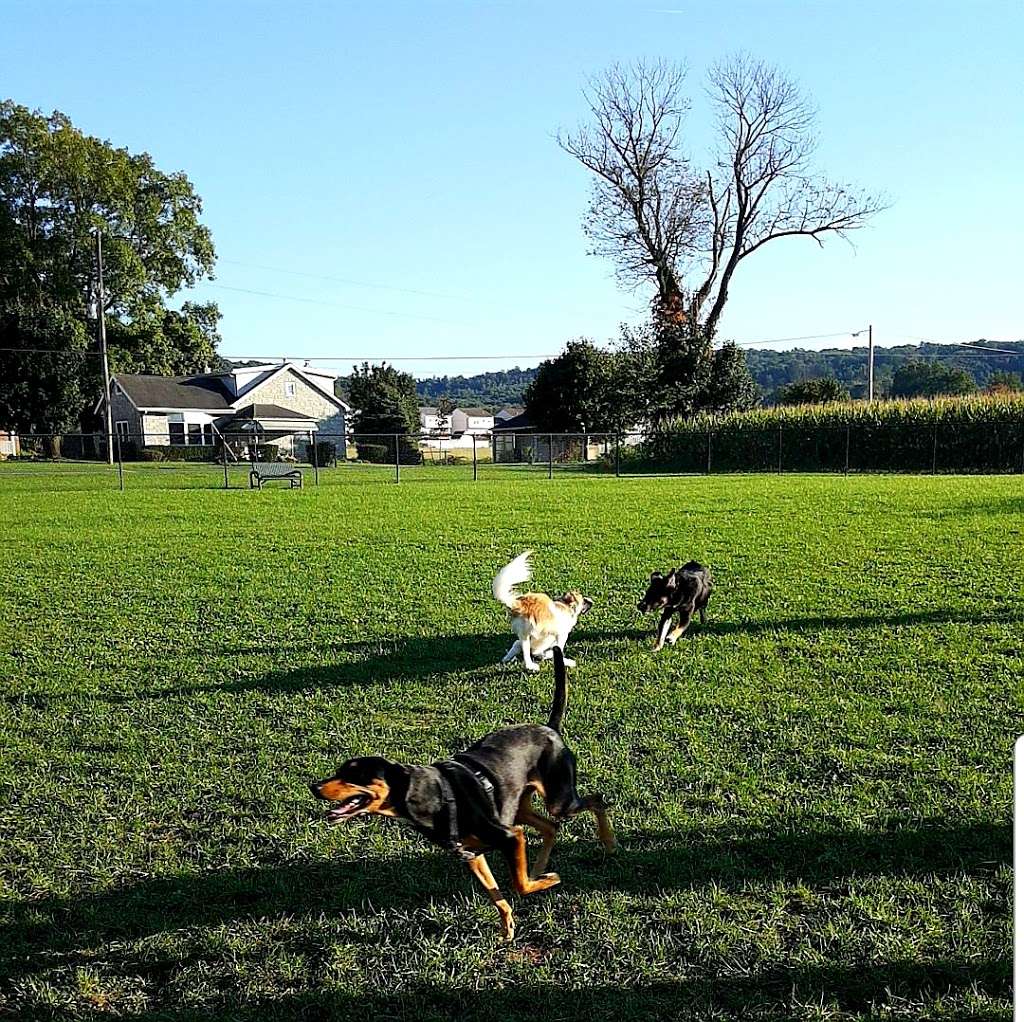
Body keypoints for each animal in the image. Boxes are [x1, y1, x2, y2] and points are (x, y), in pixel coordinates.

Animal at [307, 651, 610, 938]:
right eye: (339, 770)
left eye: (355, 774)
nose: (314, 787)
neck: (431, 795)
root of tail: (549, 728)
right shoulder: (472, 853)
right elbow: (496, 894)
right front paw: (508, 926)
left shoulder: (510, 836)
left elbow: (520, 886)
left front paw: (550, 880)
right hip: (520, 806)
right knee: (551, 826)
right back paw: (538, 867)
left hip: (559, 800)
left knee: (596, 800)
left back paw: (608, 844)